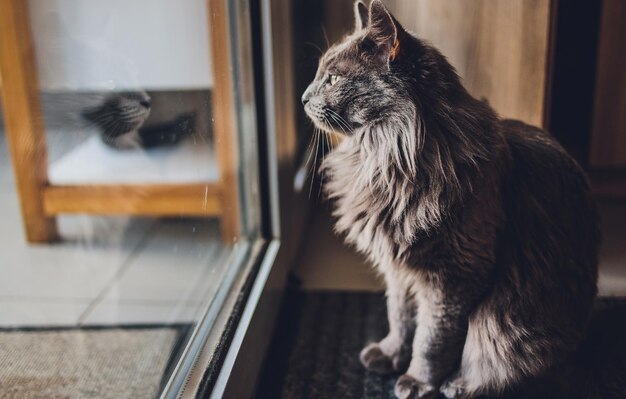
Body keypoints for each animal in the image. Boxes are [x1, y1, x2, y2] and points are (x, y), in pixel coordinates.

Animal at [302, 0, 600, 399]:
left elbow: (432, 340)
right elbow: (400, 318)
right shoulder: (399, 270)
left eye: (333, 79)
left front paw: (417, 381)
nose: (303, 98)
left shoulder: (453, 278)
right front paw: (391, 355)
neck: (387, 160)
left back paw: (458, 385)